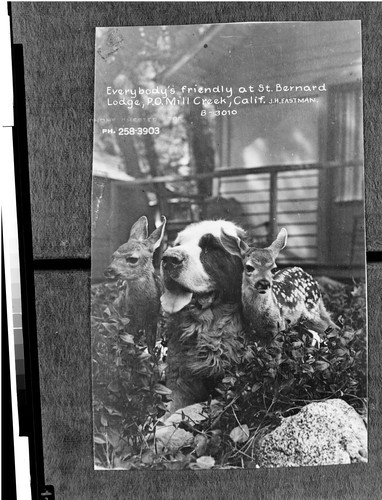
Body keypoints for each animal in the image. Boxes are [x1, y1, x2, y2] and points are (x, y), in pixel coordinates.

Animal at [104, 215, 166, 352]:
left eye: (132, 259)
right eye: (113, 256)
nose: (108, 270)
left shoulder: (153, 317)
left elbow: (151, 345)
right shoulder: (128, 317)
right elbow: (130, 342)